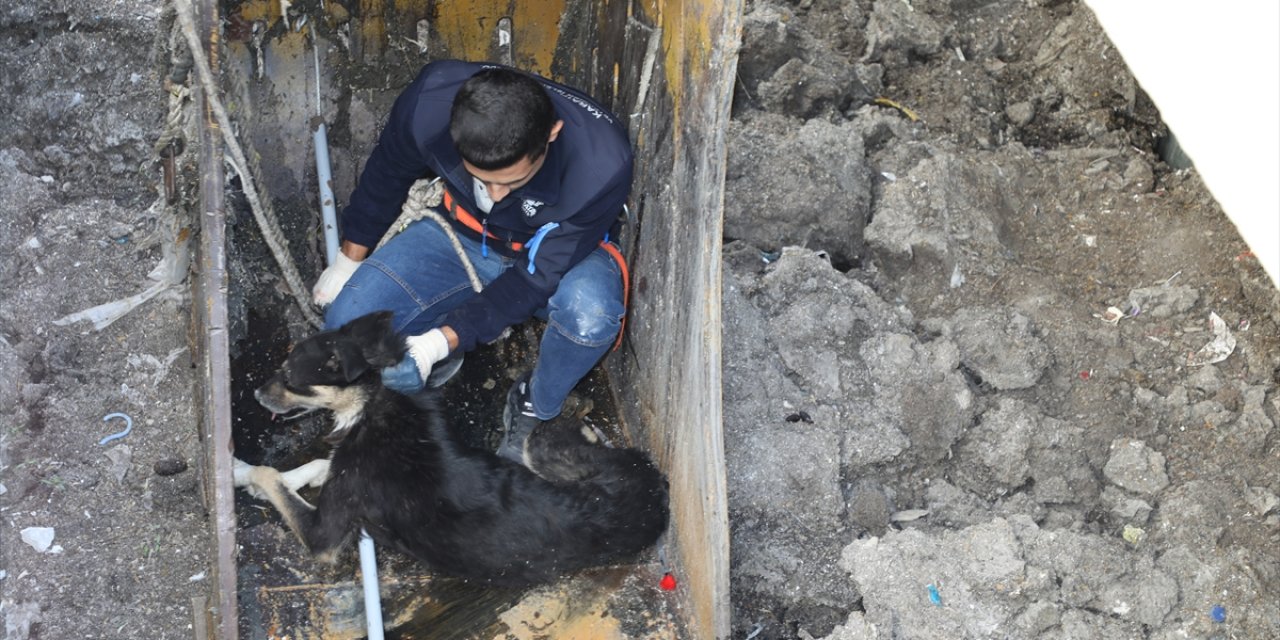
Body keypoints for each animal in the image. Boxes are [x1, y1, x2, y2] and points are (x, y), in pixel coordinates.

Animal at [234, 312, 670, 586]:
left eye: (290, 378)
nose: (254, 394)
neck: (373, 401)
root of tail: (656, 488)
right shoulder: (348, 465)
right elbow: (316, 465)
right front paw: (278, 477)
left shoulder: (323, 535)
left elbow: (271, 475)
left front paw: (240, 471)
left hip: (540, 446)